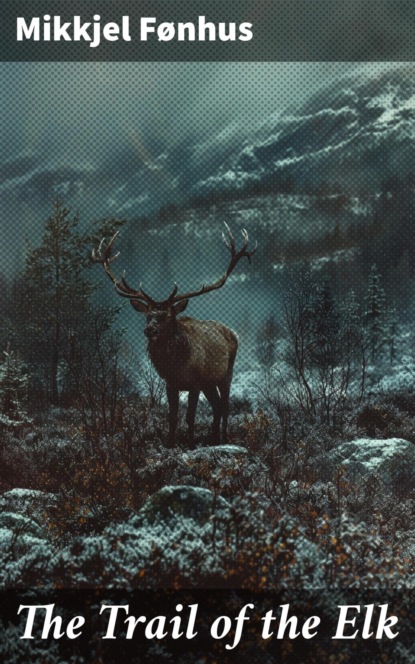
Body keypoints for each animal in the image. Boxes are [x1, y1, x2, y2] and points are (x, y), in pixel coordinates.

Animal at [92, 223, 256, 448]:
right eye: (148, 316)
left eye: (167, 316)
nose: (149, 330)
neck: (176, 365)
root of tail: (233, 333)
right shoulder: (171, 384)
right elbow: (172, 416)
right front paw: (169, 443)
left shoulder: (195, 383)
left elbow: (190, 416)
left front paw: (191, 443)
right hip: (209, 382)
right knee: (216, 406)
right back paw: (213, 438)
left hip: (225, 374)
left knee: (225, 406)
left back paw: (224, 438)